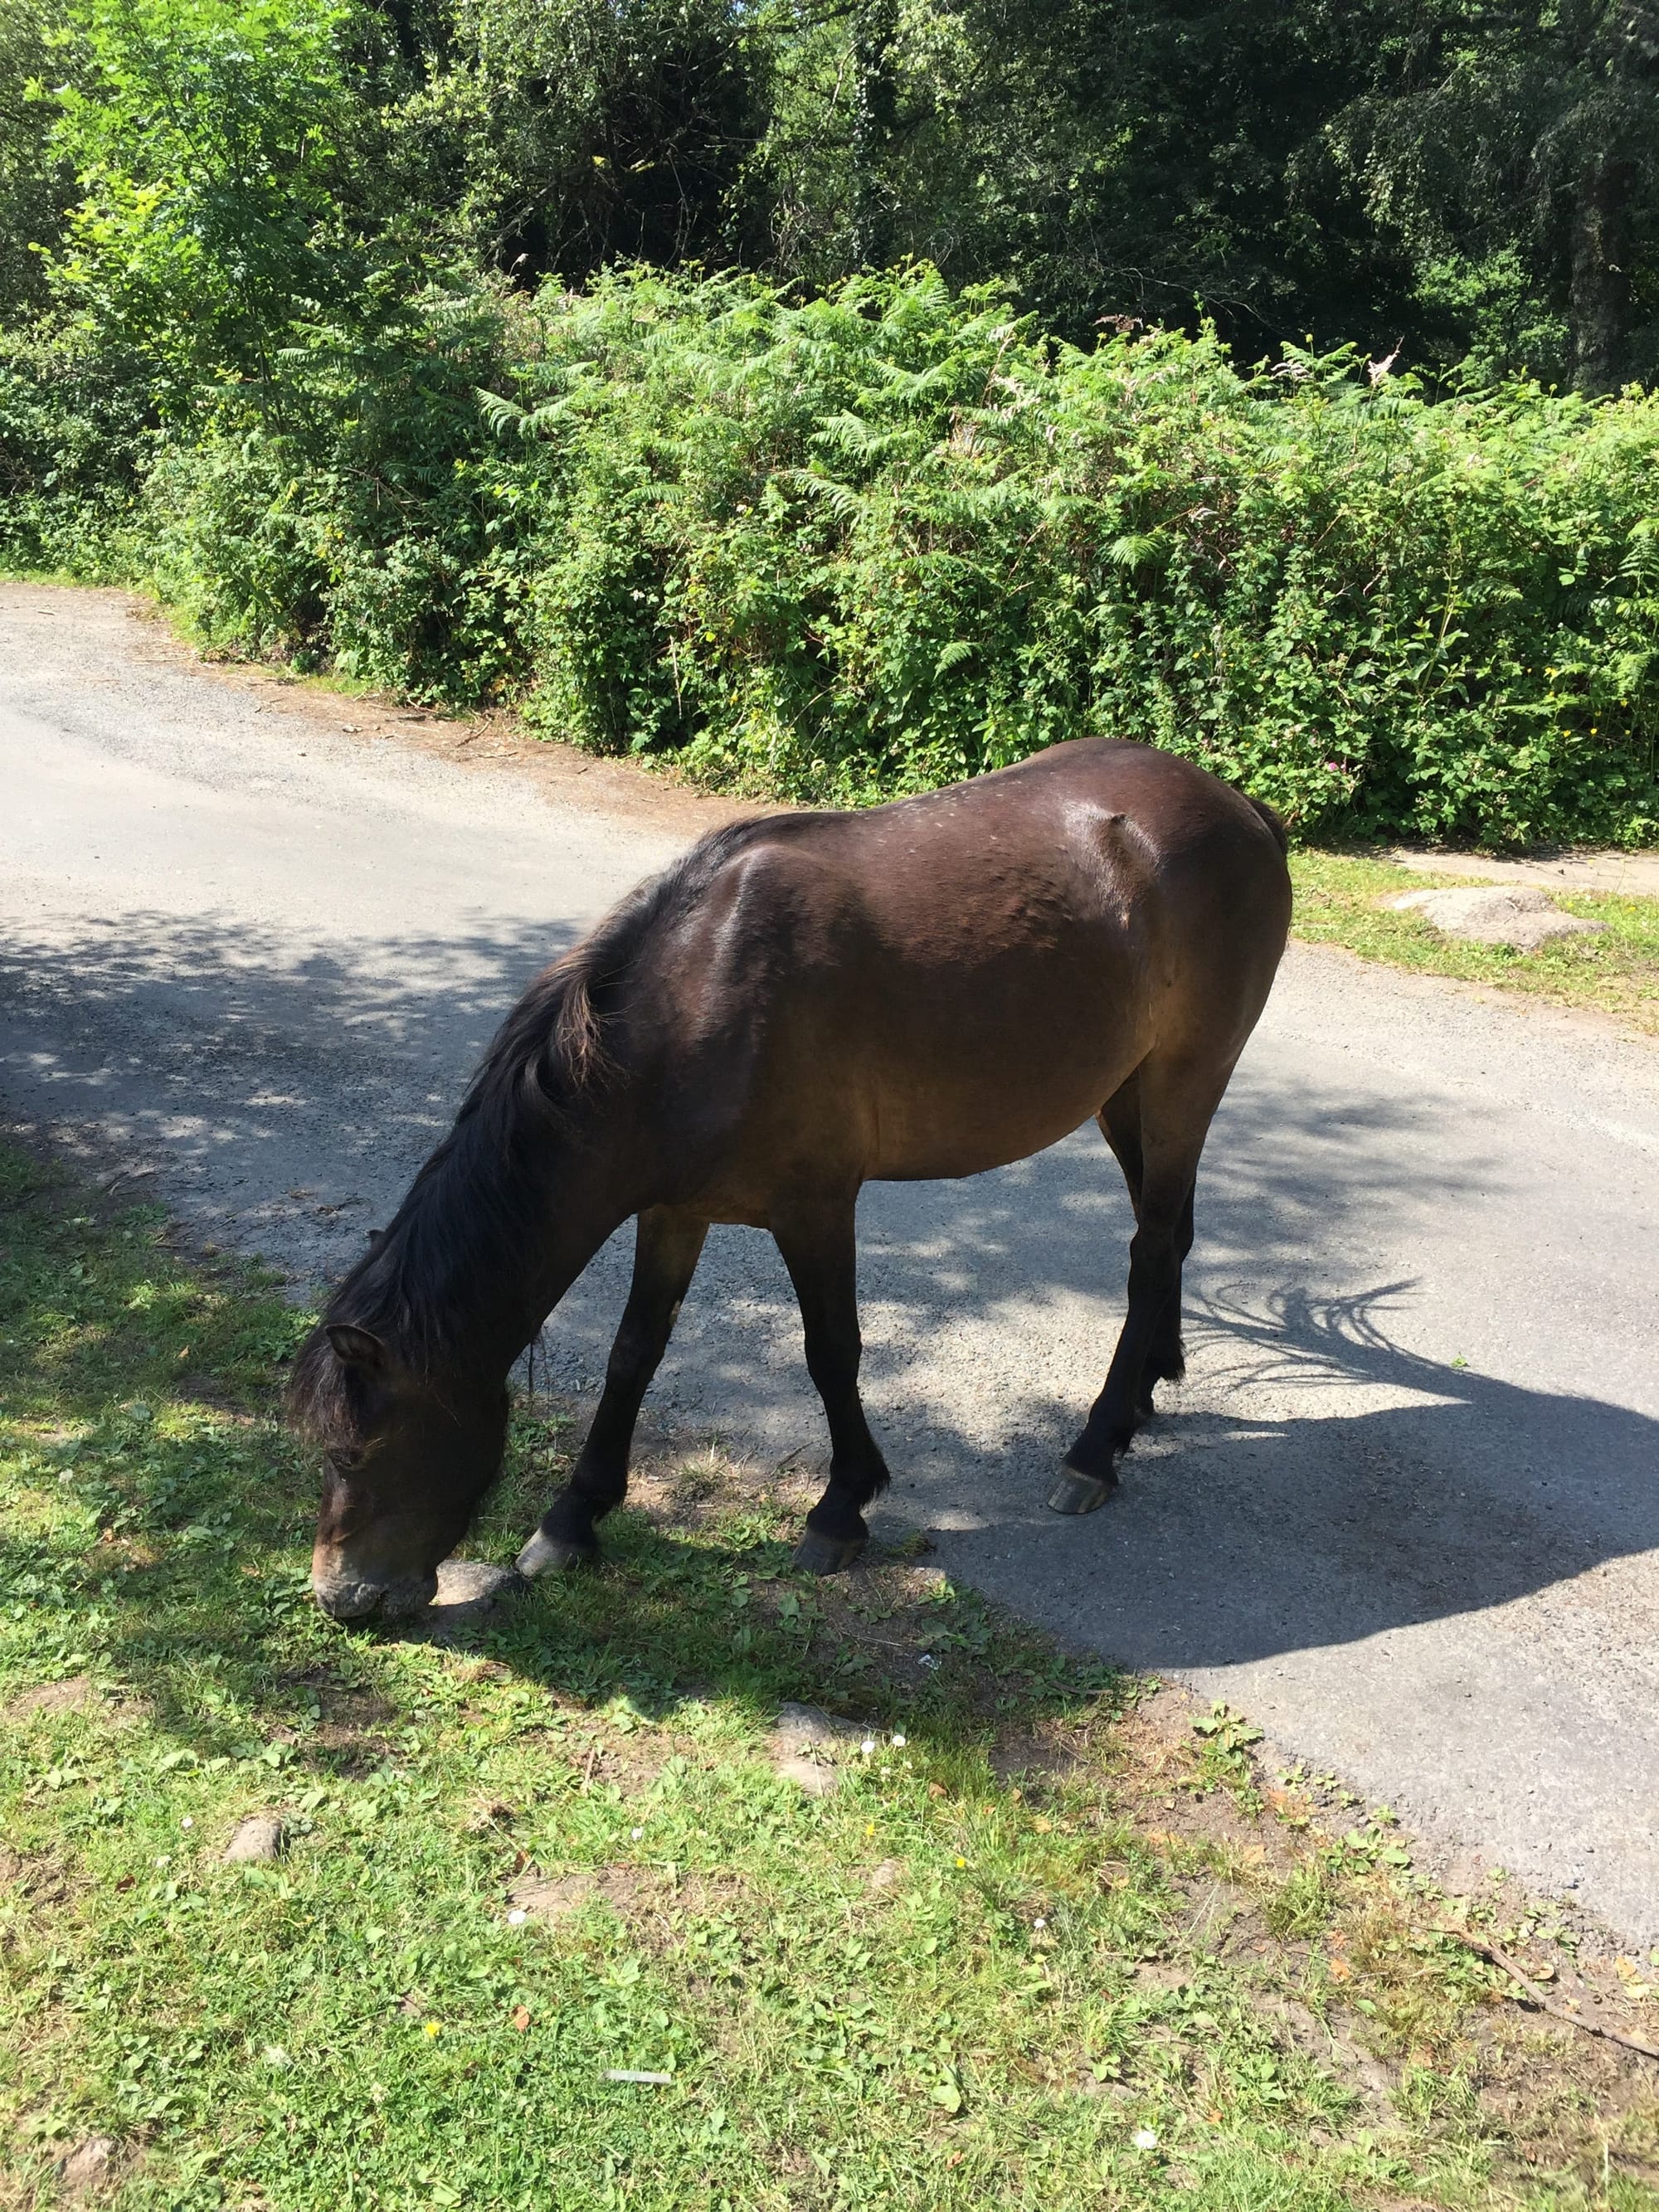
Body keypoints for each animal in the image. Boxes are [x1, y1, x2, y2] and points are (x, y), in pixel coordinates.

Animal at [292, 737, 1291, 1620]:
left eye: (358, 1452)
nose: (343, 1598)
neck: (695, 1005)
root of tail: (1238, 807)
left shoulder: (815, 1210)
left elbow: (830, 1352)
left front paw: (840, 1508)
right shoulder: (672, 1211)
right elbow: (634, 1352)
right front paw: (572, 1519)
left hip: (1183, 1080)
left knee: (1150, 1244)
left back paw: (1094, 1446)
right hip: (1125, 1092)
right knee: (1169, 1234)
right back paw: (1146, 1390)